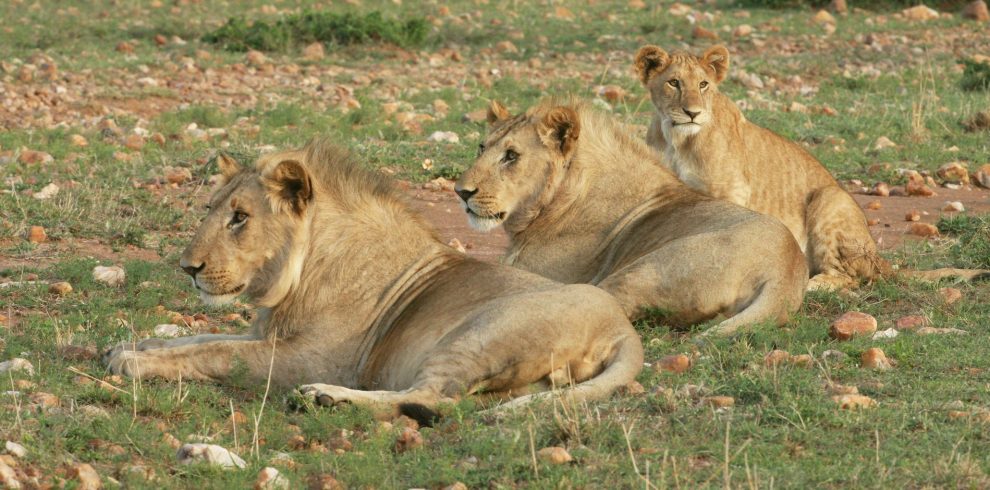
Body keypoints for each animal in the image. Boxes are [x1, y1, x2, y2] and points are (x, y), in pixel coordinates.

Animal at [101, 140, 644, 420]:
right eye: (211, 209)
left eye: (240, 218)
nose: (187, 267)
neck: (297, 276)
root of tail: (624, 330)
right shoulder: (269, 333)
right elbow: (198, 339)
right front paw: (133, 345)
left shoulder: (311, 357)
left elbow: (215, 353)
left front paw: (131, 362)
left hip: (478, 333)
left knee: (433, 398)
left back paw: (325, 397)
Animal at [636, 44, 990, 290]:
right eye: (673, 83)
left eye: (704, 85)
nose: (692, 112)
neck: (677, 140)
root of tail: (878, 255)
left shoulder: (730, 192)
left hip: (829, 198)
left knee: (850, 278)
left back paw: (812, 284)